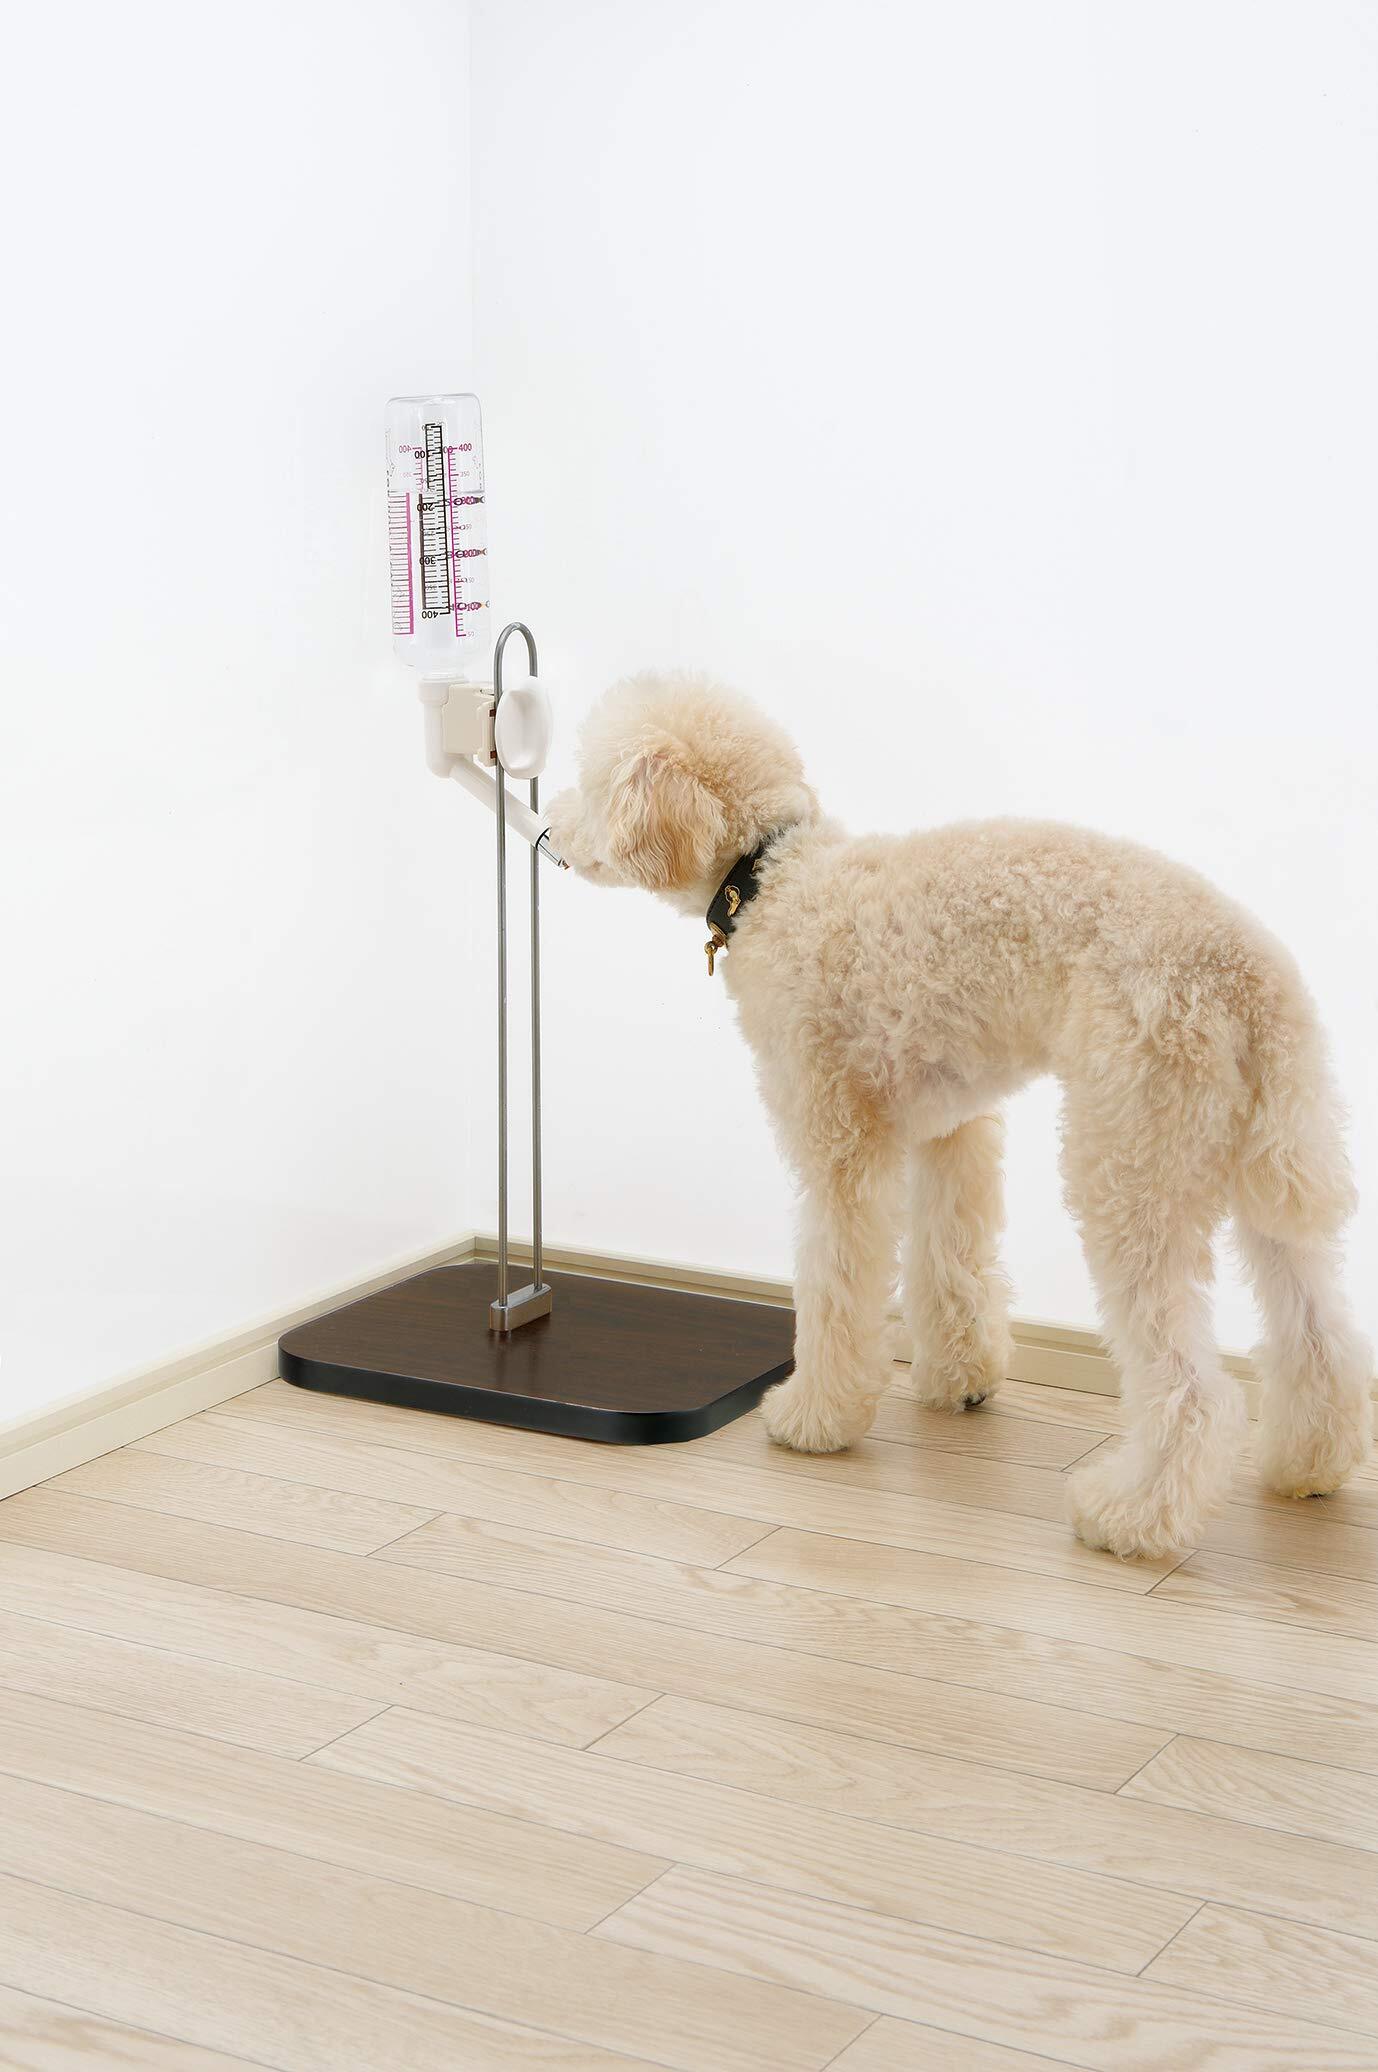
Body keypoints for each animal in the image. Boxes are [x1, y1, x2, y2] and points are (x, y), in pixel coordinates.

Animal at [546, 672, 1371, 1558]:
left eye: (591, 783)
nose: (548, 826)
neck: (775, 876)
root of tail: (1247, 975)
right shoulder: (951, 1129)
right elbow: (950, 1259)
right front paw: (961, 1381)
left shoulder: (840, 1145)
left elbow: (833, 1285)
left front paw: (815, 1419)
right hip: (1258, 1161)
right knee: (1319, 1334)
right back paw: (1310, 1466)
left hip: (1130, 1165)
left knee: (1192, 1388)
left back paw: (1130, 1516)